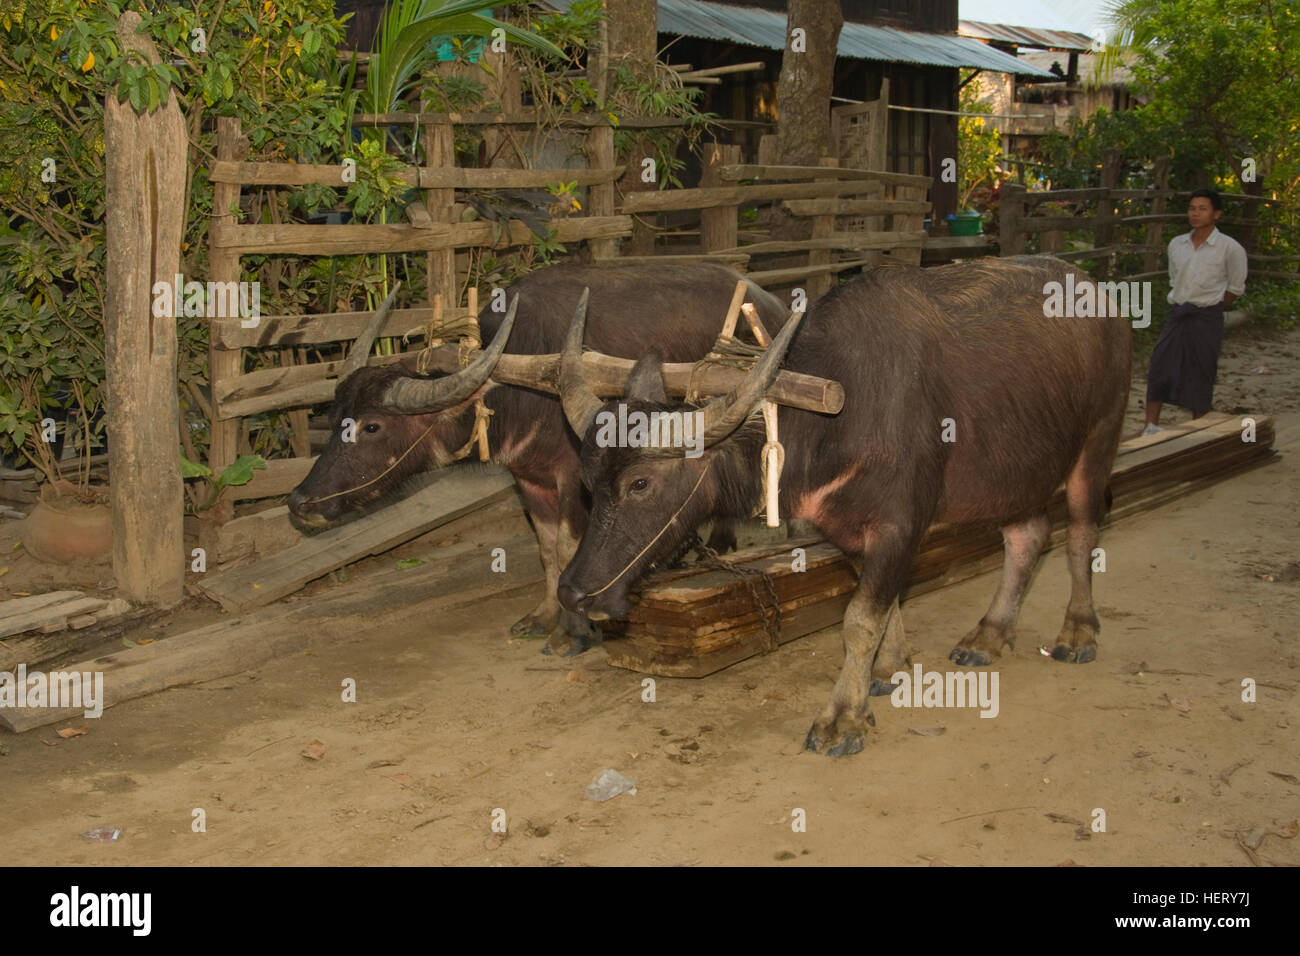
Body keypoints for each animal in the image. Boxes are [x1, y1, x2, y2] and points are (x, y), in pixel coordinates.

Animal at [288, 260, 785, 650]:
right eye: (334, 417)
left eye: (372, 426)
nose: (299, 502)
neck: (524, 386)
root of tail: (771, 302)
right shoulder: (528, 478)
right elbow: (547, 549)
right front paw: (543, 617)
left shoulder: (573, 478)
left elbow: (568, 545)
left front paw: (575, 631)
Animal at [553, 256, 1133, 754]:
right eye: (588, 481)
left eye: (640, 484)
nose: (574, 593)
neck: (836, 415)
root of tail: (1100, 296)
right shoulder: (851, 530)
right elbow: (884, 606)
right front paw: (888, 670)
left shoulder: (901, 524)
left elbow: (858, 619)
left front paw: (841, 719)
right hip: (1015, 472)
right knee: (1027, 534)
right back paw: (989, 635)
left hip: (1099, 437)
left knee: (1081, 532)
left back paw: (1078, 631)